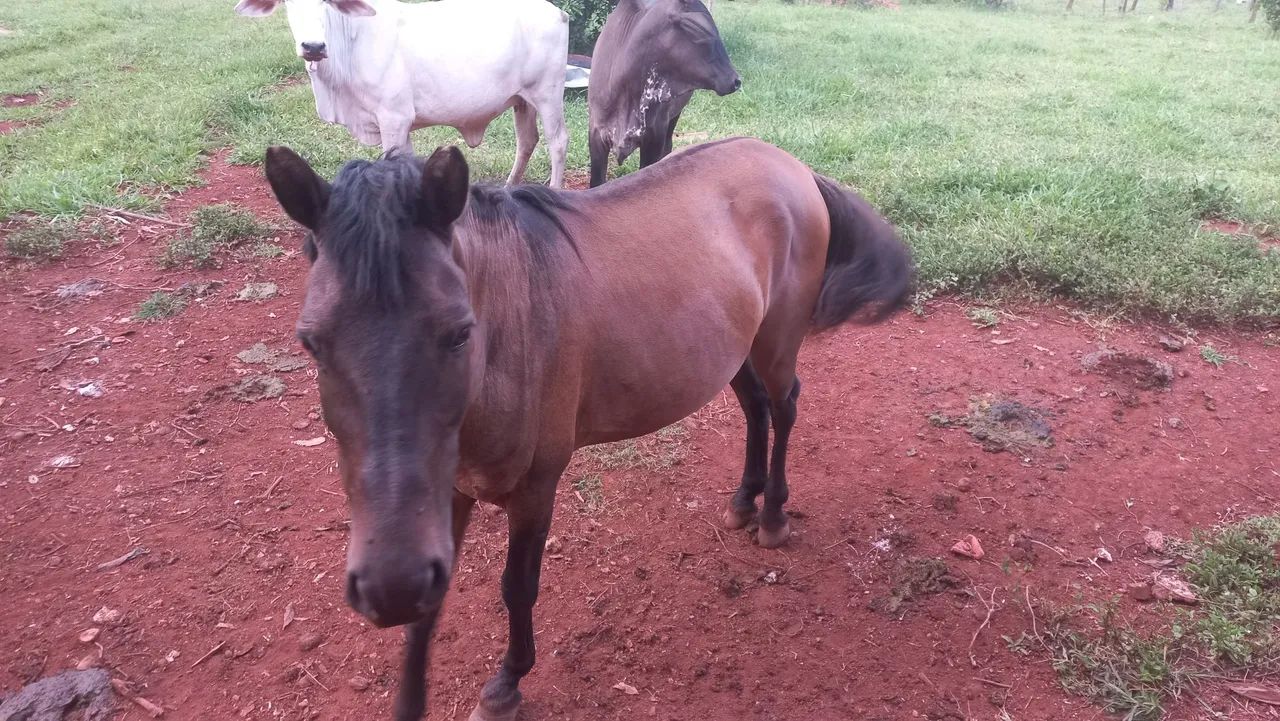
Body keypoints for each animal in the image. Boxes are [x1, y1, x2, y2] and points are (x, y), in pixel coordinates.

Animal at [260, 137, 913, 721]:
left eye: (459, 332)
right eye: (311, 341)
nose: (388, 586)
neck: (511, 324)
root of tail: (791, 166)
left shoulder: (535, 488)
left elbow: (517, 586)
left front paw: (507, 684)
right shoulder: (446, 495)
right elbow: (430, 609)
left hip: (776, 341)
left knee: (783, 407)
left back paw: (773, 512)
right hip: (731, 348)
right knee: (755, 408)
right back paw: (743, 500)